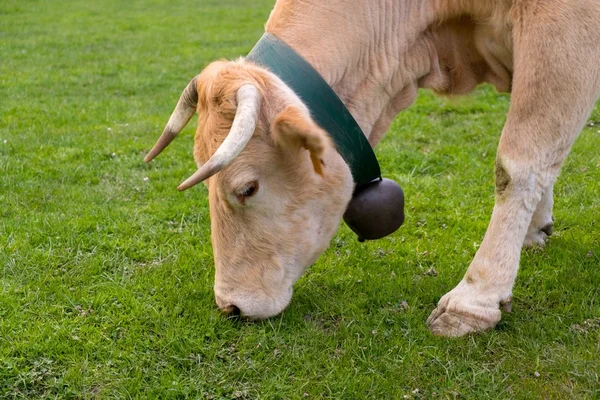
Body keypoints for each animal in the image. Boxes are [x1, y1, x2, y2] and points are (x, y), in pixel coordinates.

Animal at [145, 0, 600, 338]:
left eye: (247, 188)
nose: (230, 305)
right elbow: (545, 157)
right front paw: (535, 229)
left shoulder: (561, 32)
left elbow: (519, 163)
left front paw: (474, 301)